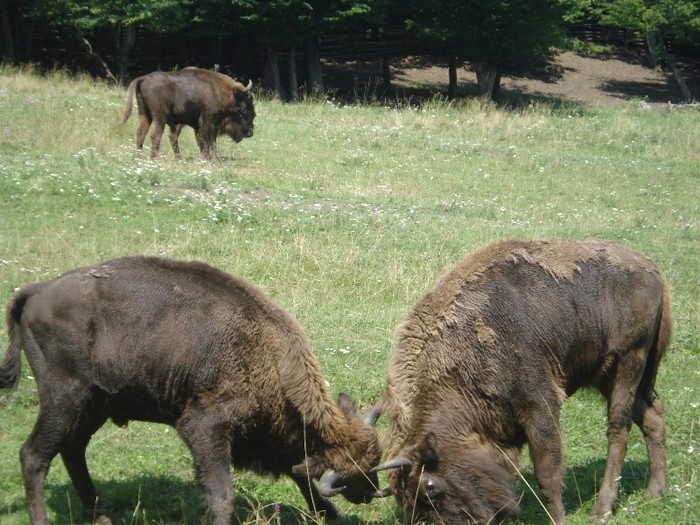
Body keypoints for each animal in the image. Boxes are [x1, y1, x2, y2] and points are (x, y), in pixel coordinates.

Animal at [1, 256, 382, 524]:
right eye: (351, 475)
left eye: (374, 460)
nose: (373, 493)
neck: (268, 355)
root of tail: (36, 291)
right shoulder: (205, 429)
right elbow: (221, 494)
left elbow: (297, 473)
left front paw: (329, 513)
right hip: (63, 399)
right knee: (34, 456)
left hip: (96, 405)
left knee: (72, 449)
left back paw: (103, 516)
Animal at [121, 66, 256, 159]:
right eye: (245, 107)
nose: (250, 133)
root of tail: (144, 78)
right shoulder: (209, 122)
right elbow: (211, 141)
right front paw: (212, 159)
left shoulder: (198, 126)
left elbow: (202, 142)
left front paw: (204, 158)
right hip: (159, 118)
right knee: (155, 136)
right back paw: (155, 158)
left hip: (144, 115)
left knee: (141, 133)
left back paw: (140, 157)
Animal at [374, 239, 668, 520]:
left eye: (430, 487)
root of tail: (652, 269)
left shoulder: (540, 407)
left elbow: (547, 474)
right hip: (606, 375)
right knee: (652, 417)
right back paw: (654, 493)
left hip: (629, 362)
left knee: (619, 428)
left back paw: (602, 509)